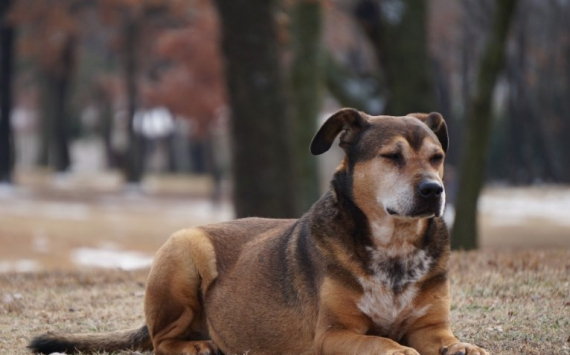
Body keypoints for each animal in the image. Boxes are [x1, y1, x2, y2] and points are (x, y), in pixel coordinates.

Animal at [28, 109, 486, 355]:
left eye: (437, 156)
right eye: (392, 156)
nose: (434, 190)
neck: (394, 246)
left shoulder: (430, 327)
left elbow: (449, 340)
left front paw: (465, 347)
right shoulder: (333, 335)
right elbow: (383, 344)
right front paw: (398, 348)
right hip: (183, 250)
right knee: (161, 341)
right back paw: (194, 345)